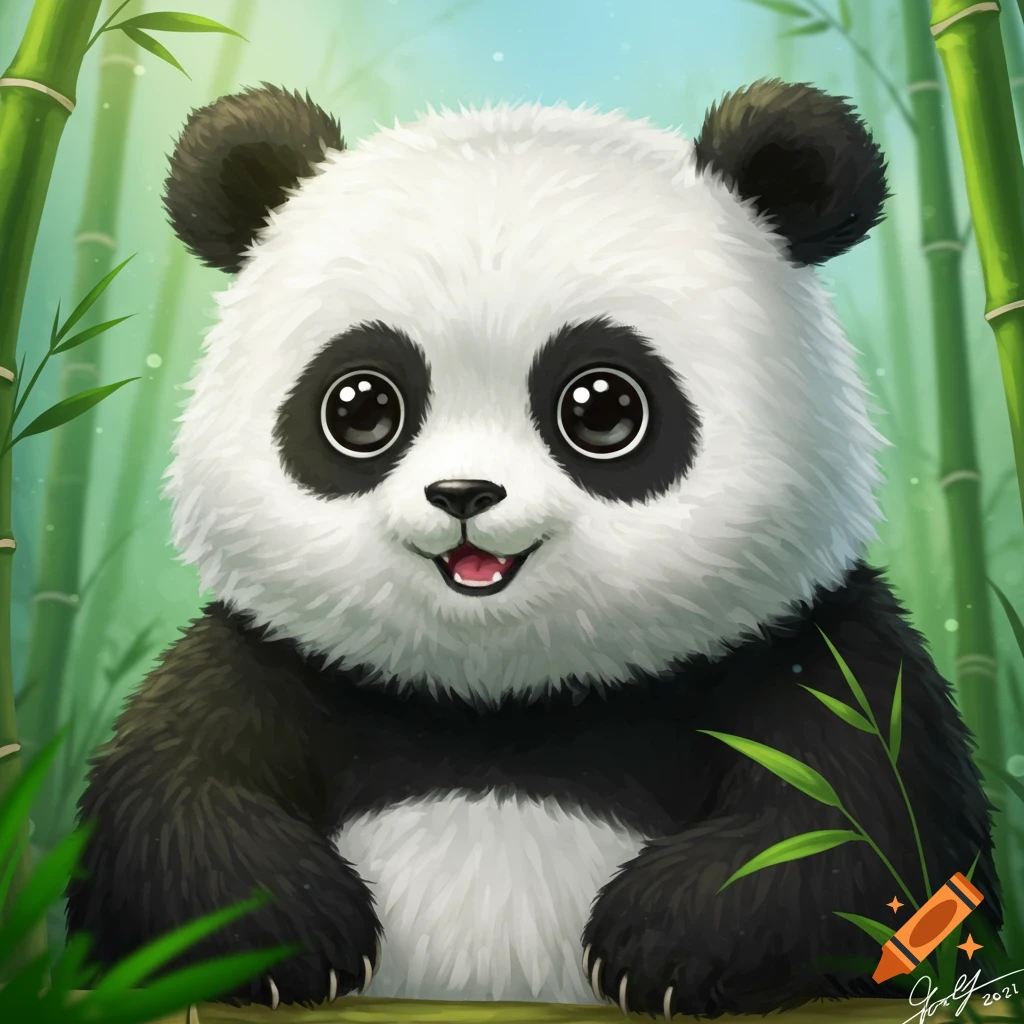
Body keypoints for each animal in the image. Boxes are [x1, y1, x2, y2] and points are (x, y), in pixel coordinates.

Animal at [66, 81, 1001, 1017]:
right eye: (361, 406)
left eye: (603, 407)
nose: (464, 496)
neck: (505, 704)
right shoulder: (276, 657)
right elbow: (169, 796)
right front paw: (289, 932)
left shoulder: (807, 648)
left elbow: (863, 821)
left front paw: (666, 943)